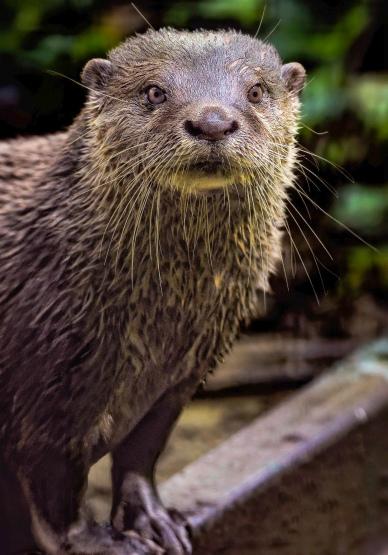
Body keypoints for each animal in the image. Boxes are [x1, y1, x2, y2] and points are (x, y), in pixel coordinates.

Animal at [0, 29, 304, 555]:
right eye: (154, 92)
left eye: (256, 91)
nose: (212, 121)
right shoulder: (45, 384)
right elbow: (54, 483)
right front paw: (97, 541)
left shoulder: (182, 375)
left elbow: (141, 453)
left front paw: (152, 519)